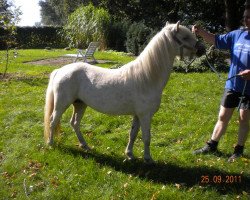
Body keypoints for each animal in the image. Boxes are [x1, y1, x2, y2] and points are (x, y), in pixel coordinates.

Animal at [44, 21, 205, 162]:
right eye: (185, 37)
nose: (202, 50)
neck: (146, 78)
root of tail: (60, 70)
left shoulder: (137, 115)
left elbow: (133, 134)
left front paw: (130, 155)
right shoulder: (145, 115)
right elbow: (147, 137)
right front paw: (148, 159)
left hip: (80, 104)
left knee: (75, 123)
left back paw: (85, 146)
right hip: (62, 104)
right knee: (53, 121)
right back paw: (51, 144)